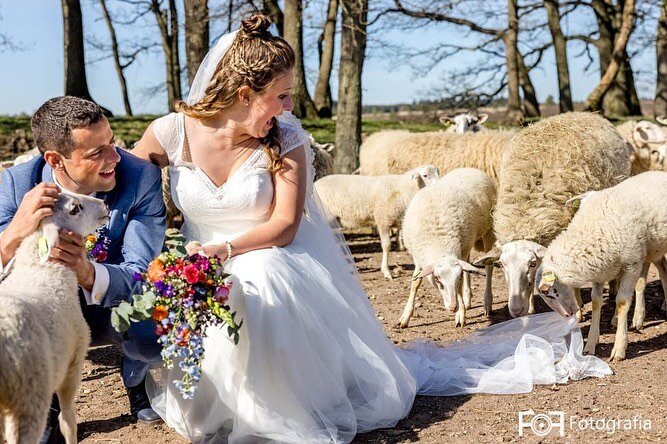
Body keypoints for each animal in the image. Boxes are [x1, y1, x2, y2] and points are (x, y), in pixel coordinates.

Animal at [0, 192, 109, 444]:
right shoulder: (74, 361)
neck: (43, 271)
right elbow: (67, 418)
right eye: (75, 209)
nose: (105, 205)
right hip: (29, 396)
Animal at [396, 168, 496, 328]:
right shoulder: (418, 257)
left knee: (489, 266)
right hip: (466, 243)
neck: (439, 242)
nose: (452, 307)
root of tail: (469, 168)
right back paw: (467, 299)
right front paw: (405, 317)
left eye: (457, 279)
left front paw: (460, 315)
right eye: (437, 279)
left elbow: (461, 284)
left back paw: (487, 303)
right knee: (468, 263)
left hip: (488, 231)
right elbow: (415, 282)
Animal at [474, 111, 632, 320]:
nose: (516, 310)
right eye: (502, 264)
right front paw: (531, 308)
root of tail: (583, 113)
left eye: (532, 264)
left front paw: (578, 311)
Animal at [536, 172, 667, 362]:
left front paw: (619, 348)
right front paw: (590, 344)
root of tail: (659, 173)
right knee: (662, 267)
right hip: (652, 248)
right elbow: (596, 301)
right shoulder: (600, 271)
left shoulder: (632, 264)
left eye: (549, 294)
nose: (568, 315)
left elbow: (622, 302)